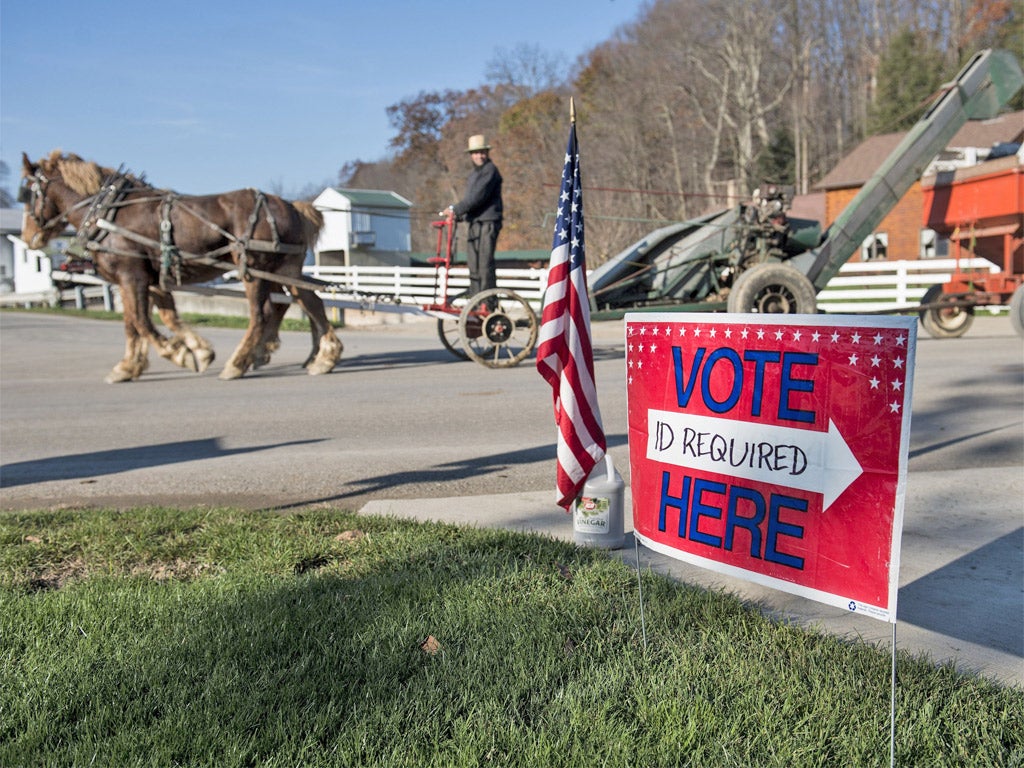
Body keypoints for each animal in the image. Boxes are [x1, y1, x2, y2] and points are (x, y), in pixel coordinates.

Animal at [19, 150, 342, 382]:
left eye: (28, 193)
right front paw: (187, 352)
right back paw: (318, 356)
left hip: (253, 269)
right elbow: (153, 319)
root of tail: (292, 205)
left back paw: (240, 362)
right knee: (306, 301)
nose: (28, 237)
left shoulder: (131, 276)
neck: (107, 213)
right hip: (284, 268)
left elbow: (140, 321)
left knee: (262, 314)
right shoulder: (150, 279)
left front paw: (177, 353)